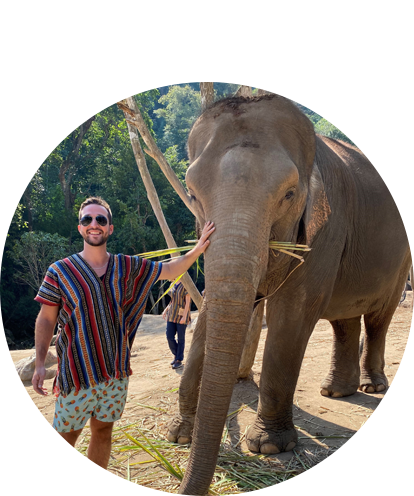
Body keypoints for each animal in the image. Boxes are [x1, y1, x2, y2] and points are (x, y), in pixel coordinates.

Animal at [163, 94, 414, 496]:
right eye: (192, 194)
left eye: (289, 194)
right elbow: (216, 311)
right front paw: (178, 433)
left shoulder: (327, 226)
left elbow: (291, 314)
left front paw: (268, 446)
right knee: (344, 320)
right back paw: (335, 392)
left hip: (402, 258)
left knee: (379, 317)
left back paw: (371, 386)